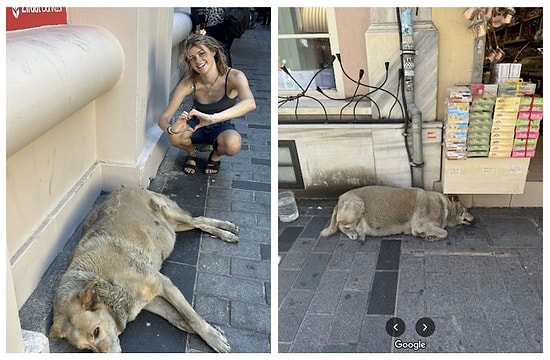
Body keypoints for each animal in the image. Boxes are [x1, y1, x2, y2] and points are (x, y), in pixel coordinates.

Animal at [48, 187, 237, 352]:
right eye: (87, 349)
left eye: (96, 331)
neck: (106, 283)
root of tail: (125, 187)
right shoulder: (149, 301)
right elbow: (178, 317)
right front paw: (212, 330)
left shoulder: (164, 284)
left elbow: (192, 317)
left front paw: (213, 337)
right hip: (174, 226)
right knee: (199, 221)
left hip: (172, 215)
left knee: (198, 220)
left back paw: (227, 231)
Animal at [322, 186, 476, 242]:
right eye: (466, 210)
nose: (474, 220)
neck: (445, 207)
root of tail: (340, 199)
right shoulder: (420, 225)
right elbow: (444, 232)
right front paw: (431, 236)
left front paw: (430, 236)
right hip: (357, 205)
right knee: (339, 225)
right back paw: (352, 233)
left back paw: (359, 234)